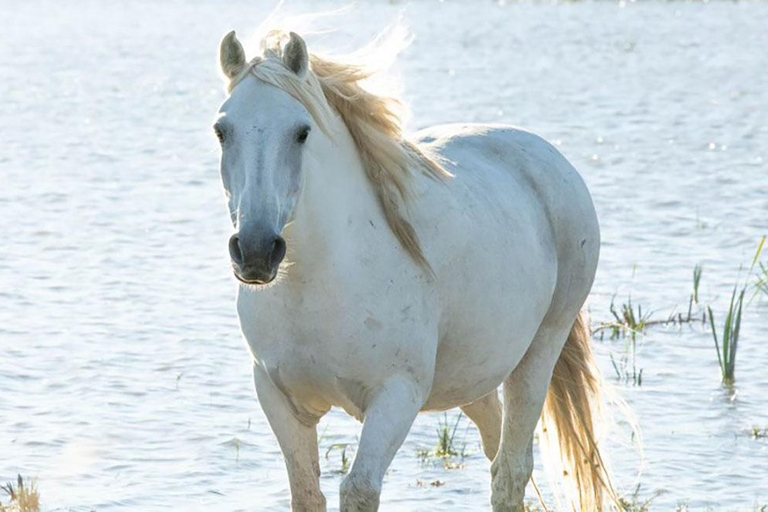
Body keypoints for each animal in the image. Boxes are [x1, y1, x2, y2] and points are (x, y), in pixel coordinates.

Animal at [214, 27, 616, 512]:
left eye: (301, 132)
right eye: (221, 131)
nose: (256, 251)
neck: (318, 283)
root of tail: (549, 157)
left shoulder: (396, 396)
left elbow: (359, 489)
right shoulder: (279, 398)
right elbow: (306, 493)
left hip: (539, 352)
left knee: (512, 471)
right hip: (474, 373)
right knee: (496, 447)